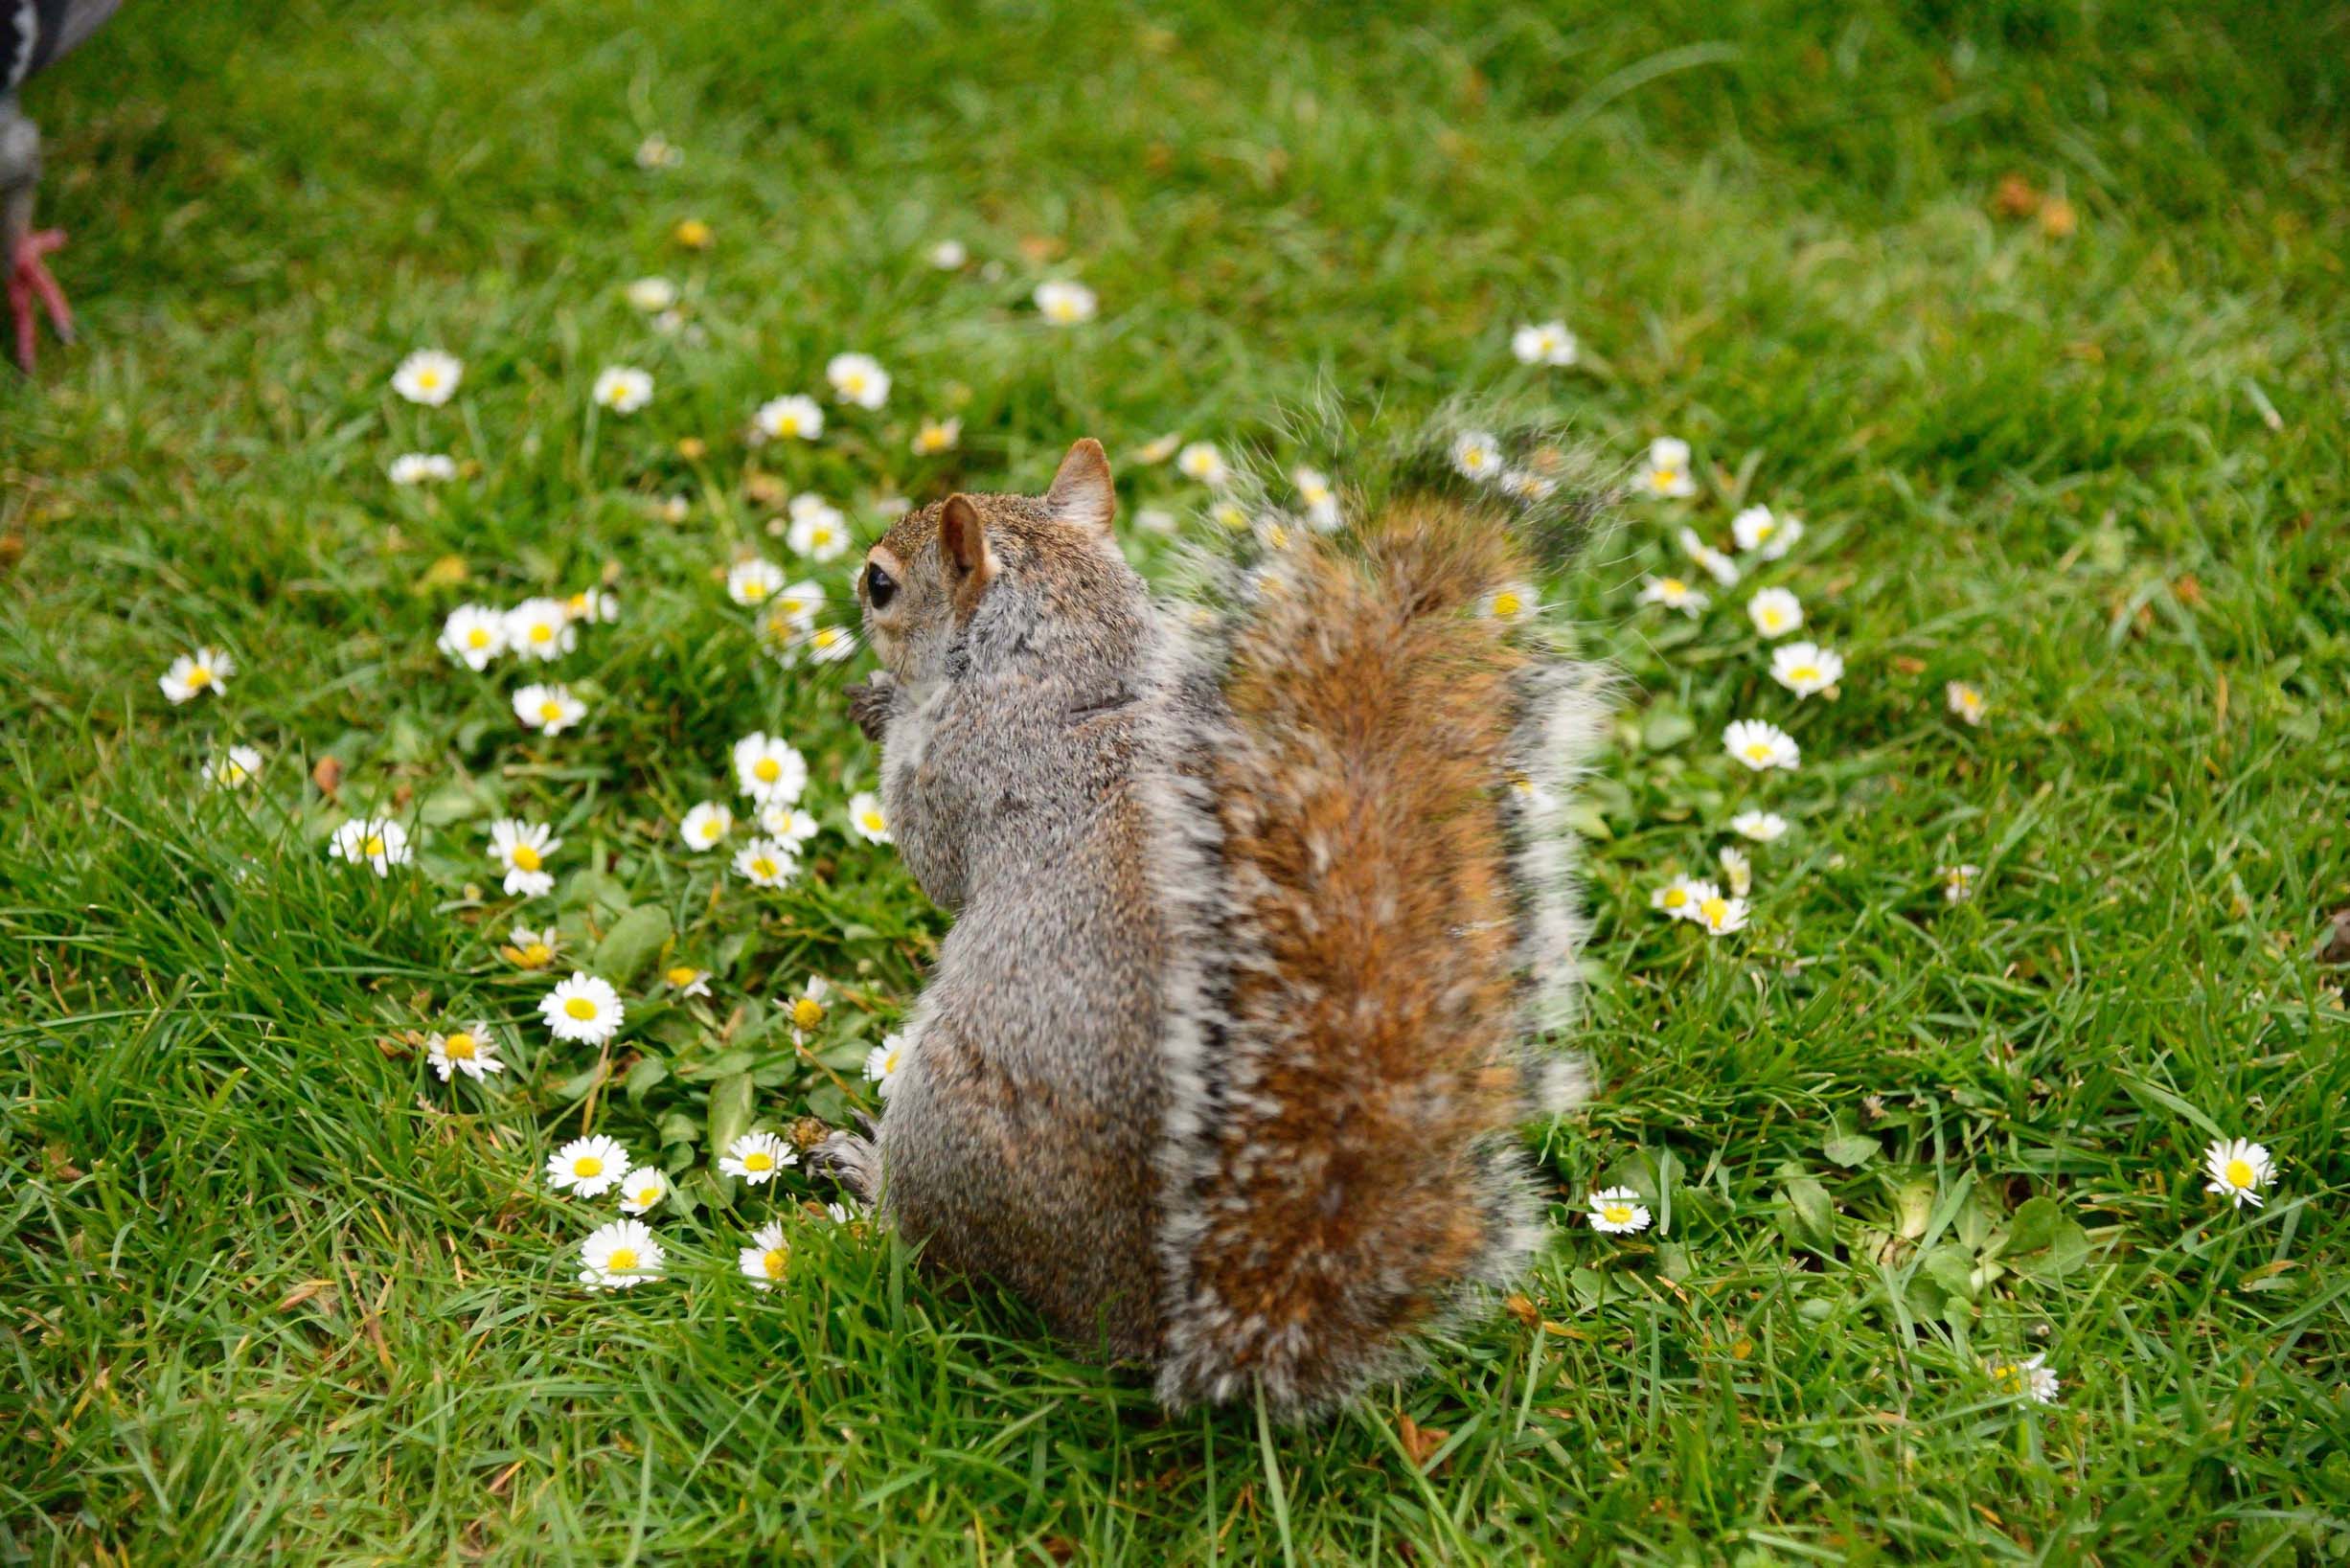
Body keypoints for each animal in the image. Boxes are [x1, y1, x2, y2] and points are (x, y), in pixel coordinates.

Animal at [817, 432, 1607, 1420]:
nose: (852, 597)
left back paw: (863, 1184)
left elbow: (932, 858)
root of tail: (1156, 1326)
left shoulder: (970, 770)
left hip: (949, 1119)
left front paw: (884, 707)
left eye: (882, 583)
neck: (1082, 671)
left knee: (932, 1254)